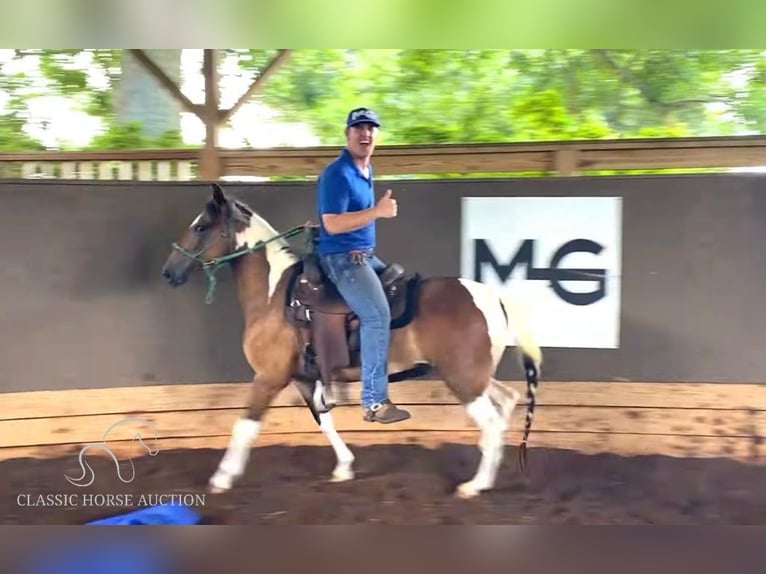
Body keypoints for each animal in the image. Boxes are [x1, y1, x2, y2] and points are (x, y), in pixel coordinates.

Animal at [159, 183, 544, 500]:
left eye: (200, 227)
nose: (169, 271)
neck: (274, 295)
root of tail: (492, 296)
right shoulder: (304, 377)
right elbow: (324, 421)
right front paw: (344, 467)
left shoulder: (268, 377)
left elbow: (245, 427)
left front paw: (221, 478)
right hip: (475, 376)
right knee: (506, 403)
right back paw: (488, 473)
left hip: (462, 378)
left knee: (491, 421)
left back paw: (474, 485)